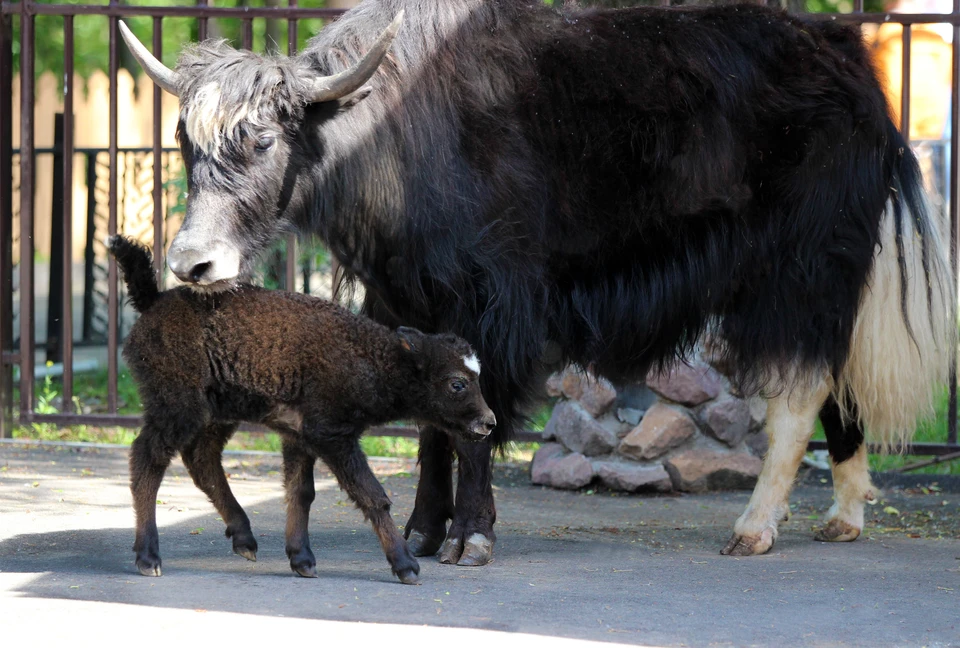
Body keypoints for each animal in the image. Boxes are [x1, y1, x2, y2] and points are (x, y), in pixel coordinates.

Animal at [110, 235, 496, 584]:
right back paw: (149, 557)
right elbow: (372, 495)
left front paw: (302, 560)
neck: (372, 357)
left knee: (201, 459)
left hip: (215, 413)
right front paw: (405, 566)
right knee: (148, 460)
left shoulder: (298, 434)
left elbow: (301, 491)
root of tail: (153, 300)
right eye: (457, 383)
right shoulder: (333, 436)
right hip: (176, 406)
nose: (489, 422)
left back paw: (244, 539)